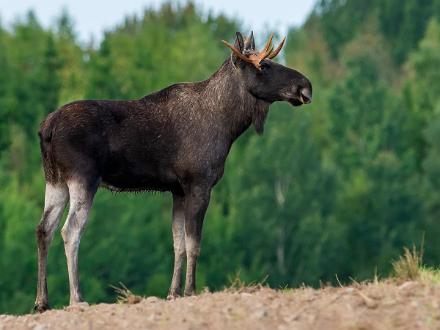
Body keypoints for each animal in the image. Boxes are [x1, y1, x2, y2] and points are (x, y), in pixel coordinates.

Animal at [34, 31, 312, 312]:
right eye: (263, 66)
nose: (305, 87)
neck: (228, 125)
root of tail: (47, 128)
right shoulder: (199, 183)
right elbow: (194, 242)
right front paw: (190, 290)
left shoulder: (177, 190)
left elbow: (178, 243)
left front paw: (173, 292)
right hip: (83, 179)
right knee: (70, 230)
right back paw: (76, 297)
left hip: (55, 180)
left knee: (44, 229)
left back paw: (42, 301)